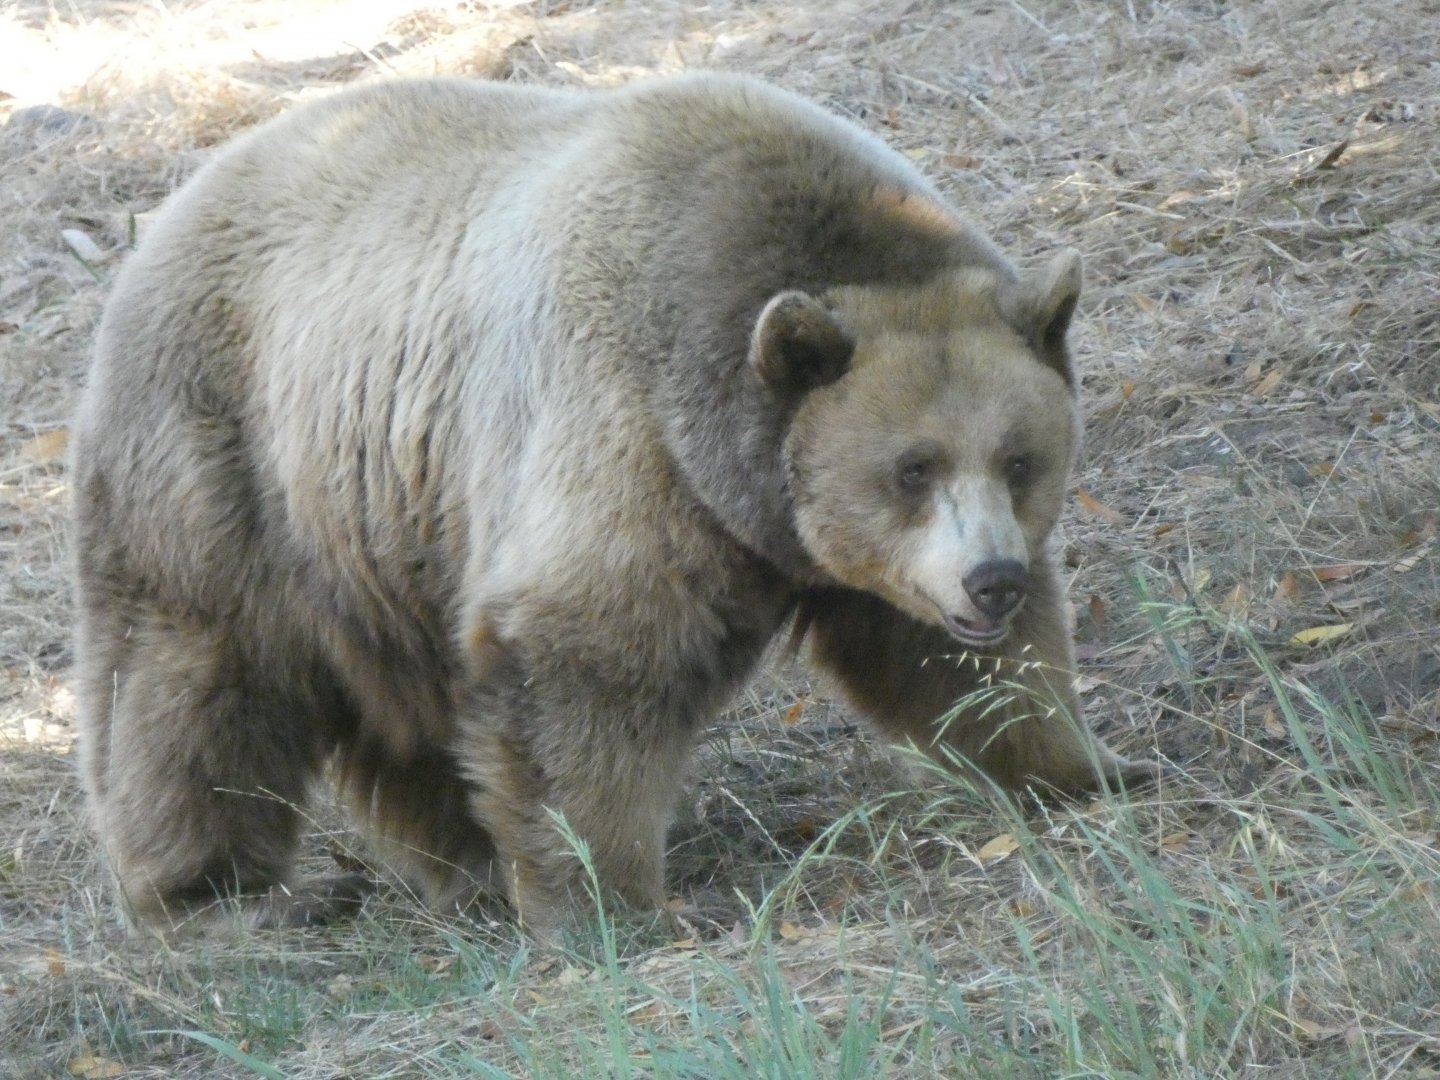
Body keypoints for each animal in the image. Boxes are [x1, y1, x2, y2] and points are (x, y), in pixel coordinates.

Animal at [71, 72, 1160, 937]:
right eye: (912, 468)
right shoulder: (625, 427)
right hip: (224, 460)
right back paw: (219, 893)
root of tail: (170, 209)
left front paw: (1094, 766)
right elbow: (588, 655)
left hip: (390, 525)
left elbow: (954, 666)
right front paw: (612, 901)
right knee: (195, 683)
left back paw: (464, 858)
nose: (992, 580)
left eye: (1018, 459)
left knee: (411, 700)